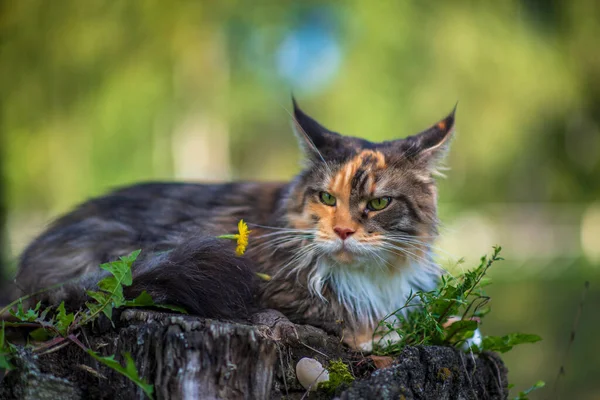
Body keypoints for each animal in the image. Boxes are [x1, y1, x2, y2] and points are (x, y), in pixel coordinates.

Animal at [12, 99, 454, 350]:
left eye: (378, 203)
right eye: (327, 198)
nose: (343, 231)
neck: (372, 279)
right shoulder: (273, 289)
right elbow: (344, 316)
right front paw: (376, 333)